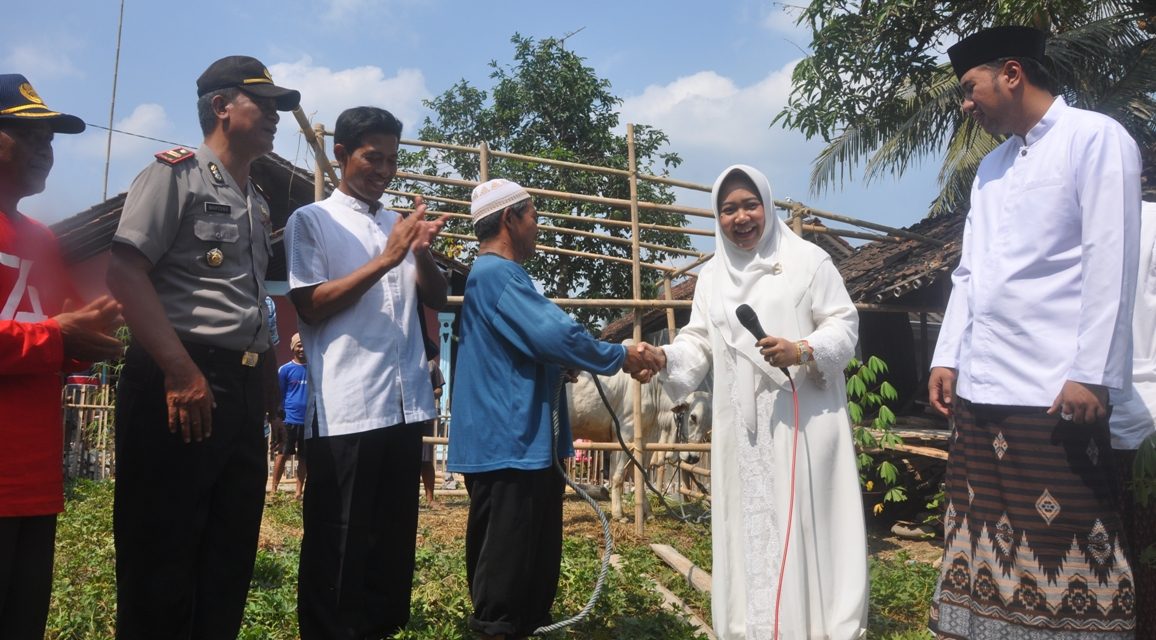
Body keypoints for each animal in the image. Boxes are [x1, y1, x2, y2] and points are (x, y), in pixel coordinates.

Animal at [566, 369, 707, 517]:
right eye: (693, 417)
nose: (694, 458)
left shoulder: (637, 441)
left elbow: (637, 474)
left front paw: (648, 512)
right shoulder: (625, 435)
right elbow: (618, 475)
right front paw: (619, 514)